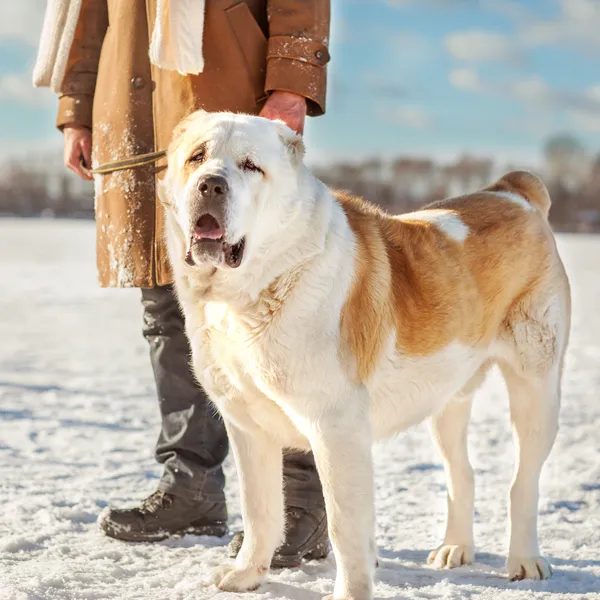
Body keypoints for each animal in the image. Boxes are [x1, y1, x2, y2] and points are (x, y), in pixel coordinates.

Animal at [159, 110, 572, 596]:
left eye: (249, 166)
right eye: (197, 157)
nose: (211, 185)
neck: (259, 285)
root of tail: (512, 191)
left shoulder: (336, 428)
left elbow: (344, 526)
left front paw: (350, 591)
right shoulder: (248, 425)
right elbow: (259, 509)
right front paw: (246, 575)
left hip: (536, 387)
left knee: (523, 481)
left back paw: (524, 560)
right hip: (447, 398)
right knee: (461, 473)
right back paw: (455, 548)